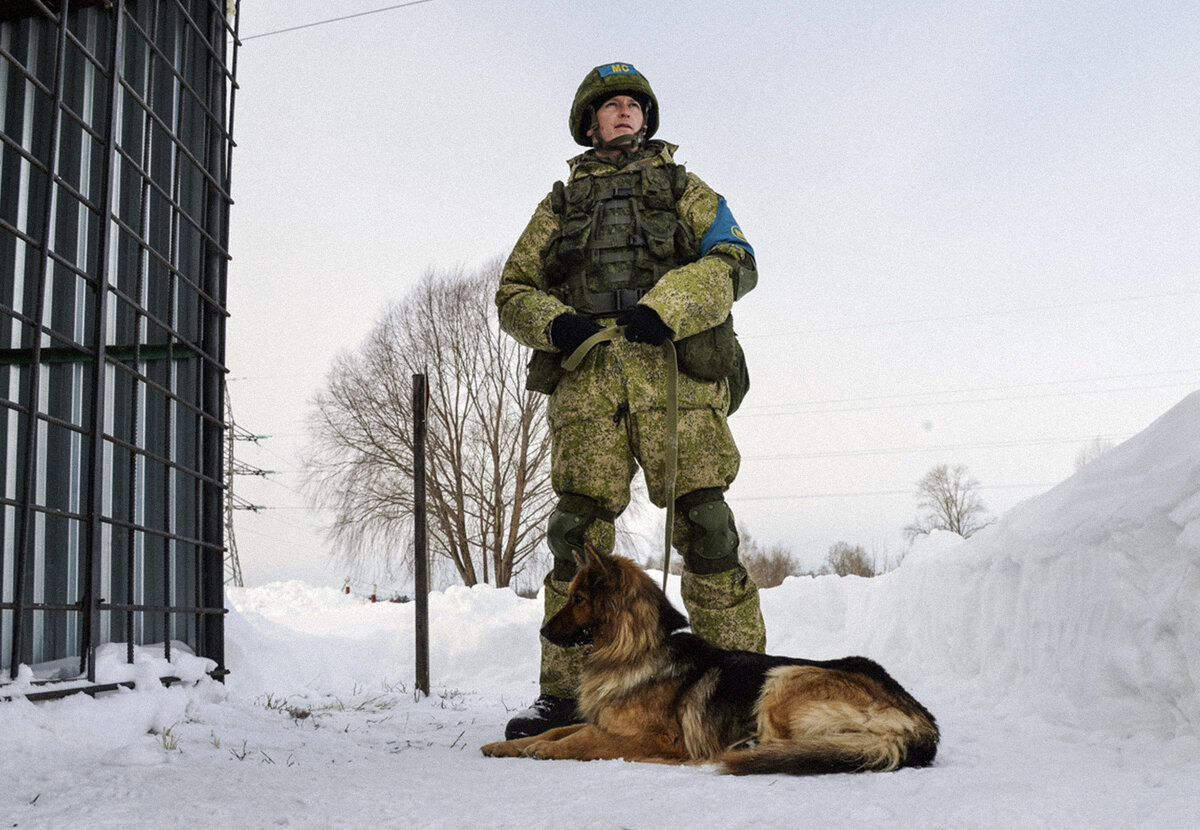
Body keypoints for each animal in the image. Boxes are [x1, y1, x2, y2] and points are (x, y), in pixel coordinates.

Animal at [480, 546, 936, 777]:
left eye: (577, 599)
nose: (542, 632)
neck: (638, 649)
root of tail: (923, 721)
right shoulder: (606, 721)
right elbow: (563, 730)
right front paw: (508, 745)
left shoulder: (652, 739)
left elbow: (578, 739)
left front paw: (538, 749)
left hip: (783, 677)